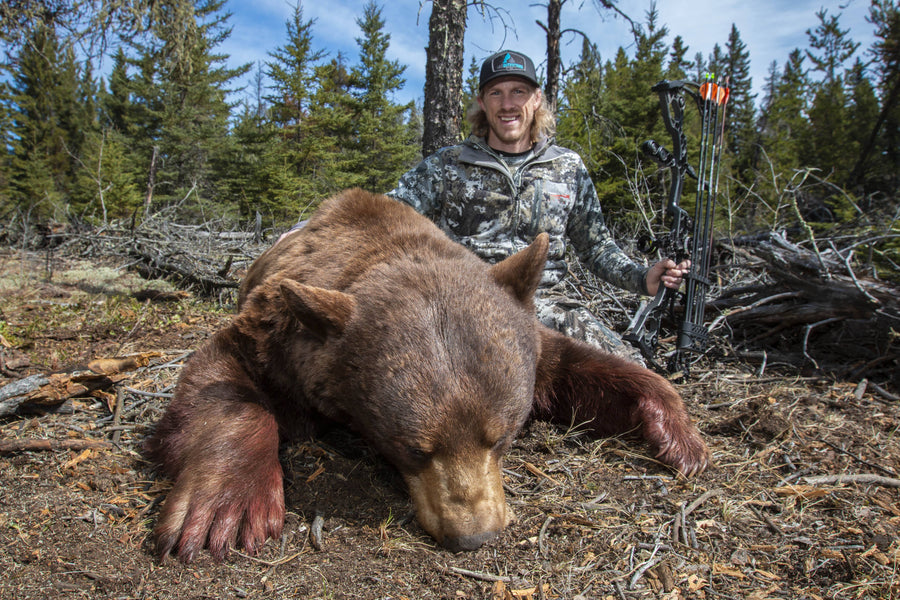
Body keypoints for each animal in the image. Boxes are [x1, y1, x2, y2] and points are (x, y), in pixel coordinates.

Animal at [145, 188, 708, 562]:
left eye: (504, 437)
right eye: (414, 449)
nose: (475, 535)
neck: (388, 247)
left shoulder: (530, 341)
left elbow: (578, 368)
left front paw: (674, 431)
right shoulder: (275, 337)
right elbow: (223, 376)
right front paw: (228, 508)